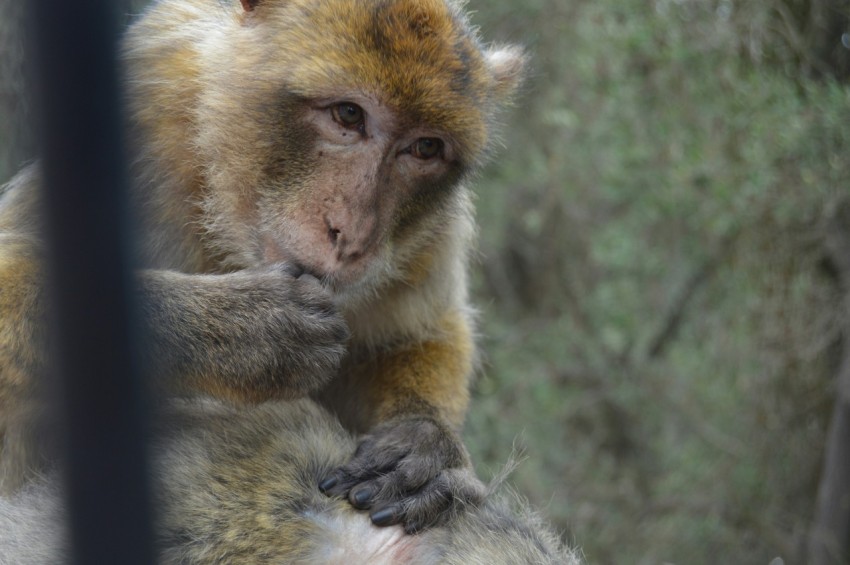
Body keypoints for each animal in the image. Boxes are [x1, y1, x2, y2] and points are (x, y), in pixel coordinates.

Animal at [0, 0, 528, 532]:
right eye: (348, 115)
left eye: (425, 148)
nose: (352, 234)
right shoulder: (142, 99)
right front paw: (246, 328)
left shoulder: (431, 234)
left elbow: (422, 335)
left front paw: (424, 441)